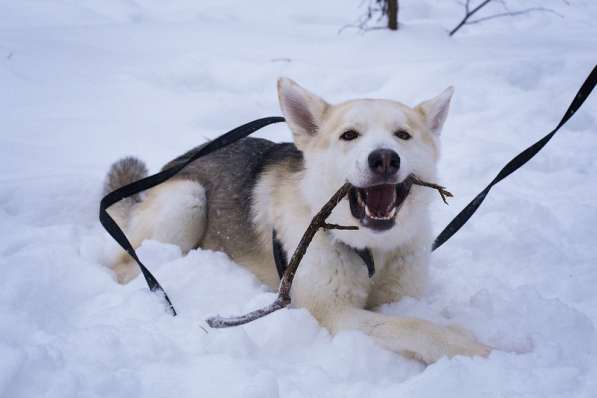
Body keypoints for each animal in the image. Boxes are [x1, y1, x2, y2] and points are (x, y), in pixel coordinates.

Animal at [105, 77, 492, 364]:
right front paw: (482, 349)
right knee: (127, 265)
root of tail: (174, 164)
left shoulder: (399, 295)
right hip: (189, 200)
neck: (371, 249)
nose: (384, 159)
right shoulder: (334, 312)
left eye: (403, 135)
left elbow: (412, 318)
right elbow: (414, 327)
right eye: (349, 135)